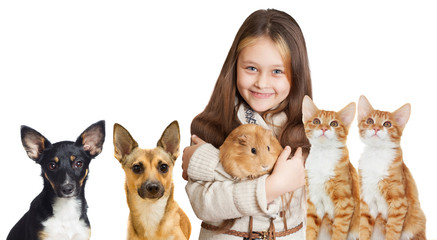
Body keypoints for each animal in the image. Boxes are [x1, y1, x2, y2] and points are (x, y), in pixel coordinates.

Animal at [302, 96, 360, 240]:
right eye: (316, 121)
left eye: (334, 124)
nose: (324, 128)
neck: (323, 156)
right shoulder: (314, 202)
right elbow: (310, 230)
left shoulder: (345, 202)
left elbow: (339, 232)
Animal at [356, 95, 424, 240]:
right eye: (370, 121)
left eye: (387, 124)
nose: (376, 128)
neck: (376, 155)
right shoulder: (367, 200)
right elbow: (363, 228)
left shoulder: (399, 201)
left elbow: (392, 230)